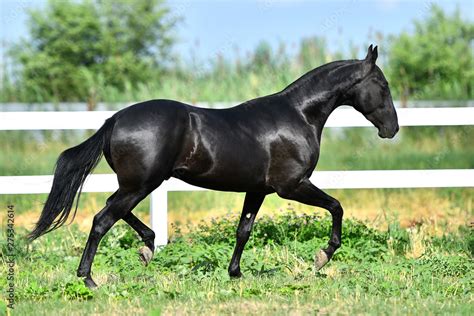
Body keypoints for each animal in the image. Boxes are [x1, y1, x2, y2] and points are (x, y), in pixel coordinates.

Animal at [28, 45, 400, 288]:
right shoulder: (291, 186)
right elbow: (337, 206)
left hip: (138, 184)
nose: (392, 129)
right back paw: (89, 279)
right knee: (102, 220)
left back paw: (147, 248)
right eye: (382, 86)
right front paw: (323, 256)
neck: (299, 115)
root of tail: (114, 120)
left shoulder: (258, 190)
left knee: (113, 211)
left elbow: (243, 229)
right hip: (141, 184)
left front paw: (235, 273)